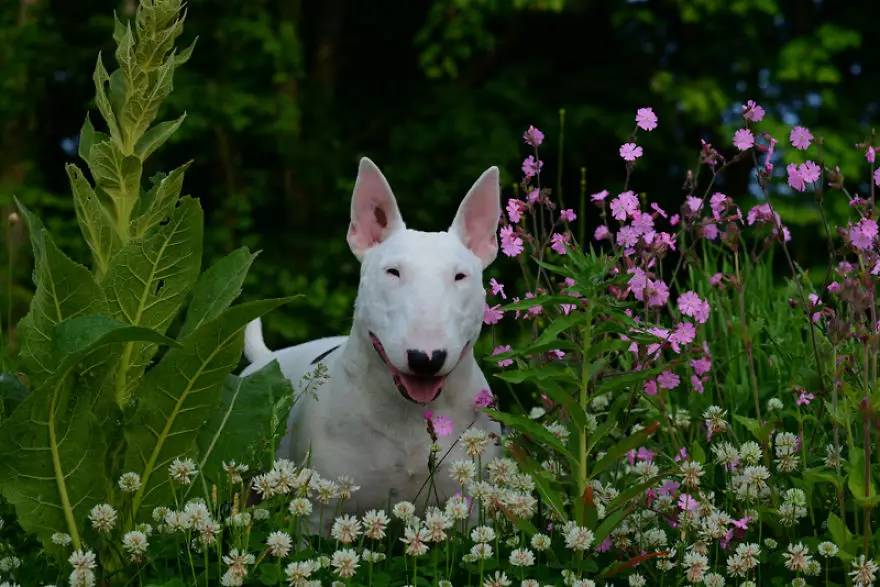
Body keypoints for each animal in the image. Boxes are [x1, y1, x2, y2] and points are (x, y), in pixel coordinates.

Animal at [241, 158, 502, 512]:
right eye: (393, 272)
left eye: (460, 276)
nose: (426, 359)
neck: (409, 413)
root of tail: (266, 358)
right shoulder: (322, 511)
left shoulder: (469, 505)